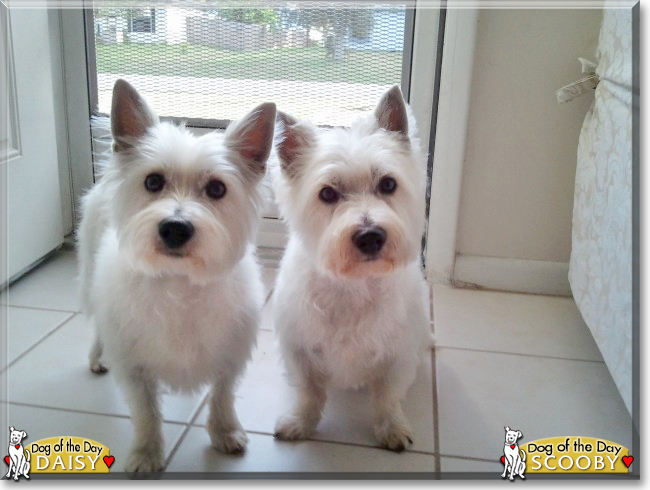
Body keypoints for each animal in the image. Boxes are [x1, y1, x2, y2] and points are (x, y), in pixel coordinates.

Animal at [79, 79, 276, 470]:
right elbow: (145, 412)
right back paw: (97, 356)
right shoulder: (134, 367)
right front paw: (146, 452)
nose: (175, 228)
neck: (179, 280)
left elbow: (222, 395)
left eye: (217, 188)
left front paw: (225, 431)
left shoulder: (231, 352)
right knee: (96, 323)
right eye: (153, 181)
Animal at [268, 85, 430, 452]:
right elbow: (309, 392)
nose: (370, 237)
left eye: (388, 184)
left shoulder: (398, 354)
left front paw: (391, 428)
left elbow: (387, 396)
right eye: (327, 193)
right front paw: (300, 423)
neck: (354, 284)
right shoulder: (299, 348)